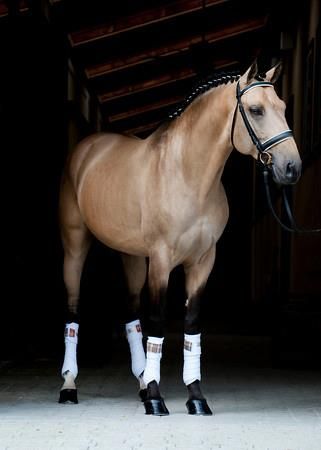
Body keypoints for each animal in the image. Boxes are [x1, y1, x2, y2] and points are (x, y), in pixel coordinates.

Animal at [57, 62, 300, 414]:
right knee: (73, 313)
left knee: (132, 317)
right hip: (75, 248)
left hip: (131, 256)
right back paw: (69, 385)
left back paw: (141, 383)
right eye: (256, 110)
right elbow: (158, 322)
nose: (292, 167)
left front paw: (195, 397)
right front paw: (157, 398)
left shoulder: (202, 261)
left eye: (282, 107)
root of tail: (86, 149)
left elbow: (192, 325)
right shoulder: (161, 260)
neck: (187, 174)